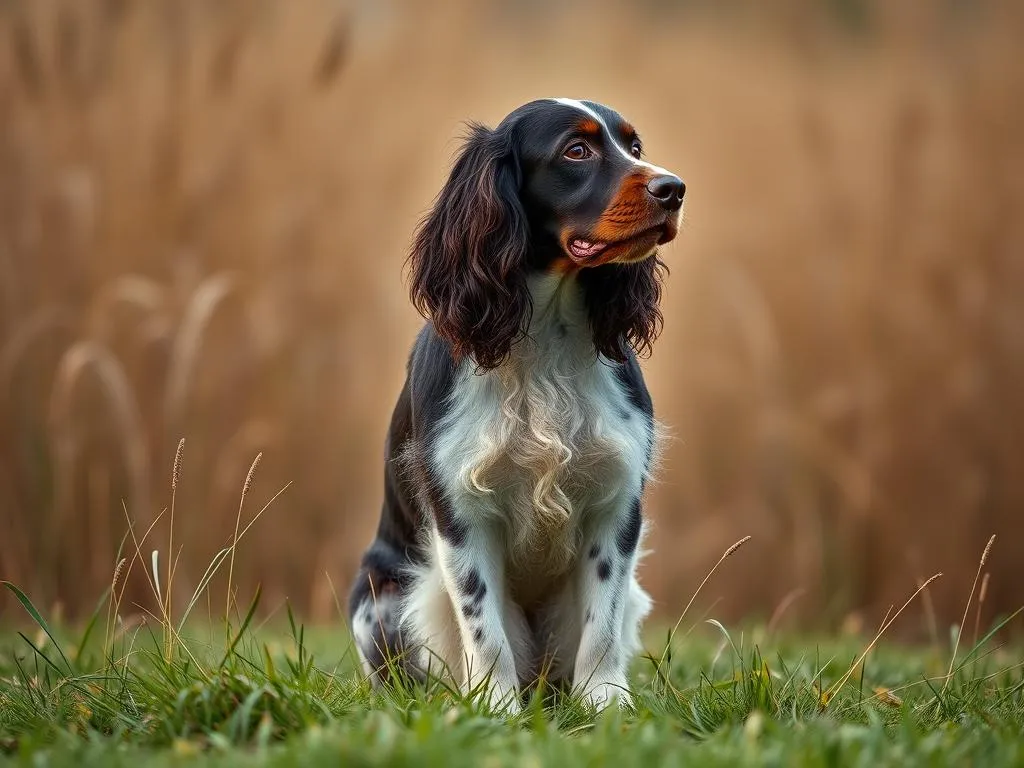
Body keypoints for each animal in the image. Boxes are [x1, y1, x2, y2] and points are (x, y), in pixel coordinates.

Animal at [348, 99, 684, 712]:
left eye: (635, 147)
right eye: (576, 150)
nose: (673, 188)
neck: (545, 336)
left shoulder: (615, 502)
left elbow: (601, 624)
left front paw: (605, 703)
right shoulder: (460, 511)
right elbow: (485, 627)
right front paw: (496, 708)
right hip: (378, 597)